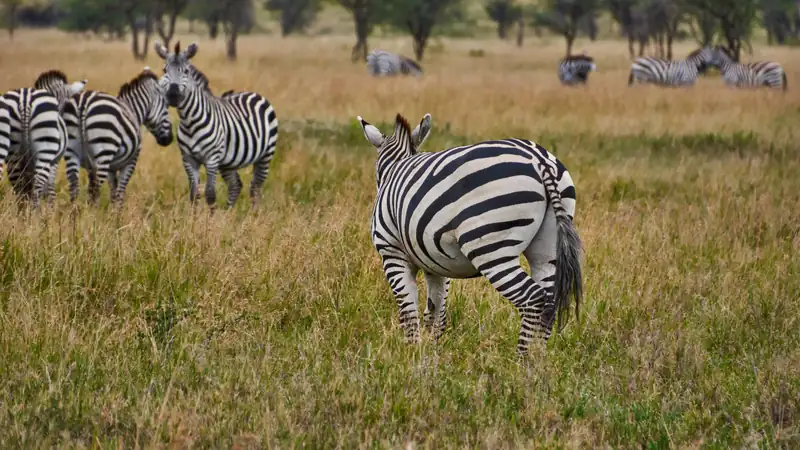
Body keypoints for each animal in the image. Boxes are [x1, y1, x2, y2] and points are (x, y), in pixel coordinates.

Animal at [0, 71, 86, 207]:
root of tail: (25, 100)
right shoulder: (54, 162)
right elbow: (49, 190)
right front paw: (49, 210)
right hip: (45, 150)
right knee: (37, 188)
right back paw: (33, 212)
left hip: (13, 156)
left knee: (20, 189)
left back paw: (24, 212)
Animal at [61, 67, 174, 206]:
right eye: (166, 106)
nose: (169, 139)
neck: (133, 110)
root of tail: (84, 102)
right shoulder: (131, 161)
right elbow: (120, 192)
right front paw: (117, 211)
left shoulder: (111, 167)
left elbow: (113, 192)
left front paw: (113, 210)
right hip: (104, 152)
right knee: (95, 190)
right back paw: (93, 212)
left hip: (72, 153)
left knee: (74, 188)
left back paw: (77, 212)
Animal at [154, 41, 279, 210]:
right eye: (165, 70)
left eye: (186, 71)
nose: (173, 95)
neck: (190, 122)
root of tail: (254, 93)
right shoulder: (188, 159)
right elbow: (194, 194)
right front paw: (193, 217)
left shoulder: (212, 159)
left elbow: (210, 195)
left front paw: (210, 217)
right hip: (228, 162)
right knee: (235, 185)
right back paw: (229, 213)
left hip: (266, 155)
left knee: (256, 188)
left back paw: (254, 214)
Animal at [356, 113, 583, 358]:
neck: (396, 167)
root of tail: (540, 160)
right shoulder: (435, 264)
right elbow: (435, 314)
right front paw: (431, 353)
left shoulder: (392, 252)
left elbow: (408, 313)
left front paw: (411, 354)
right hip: (548, 246)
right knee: (549, 302)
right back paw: (538, 359)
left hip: (490, 247)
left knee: (534, 300)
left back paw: (521, 362)